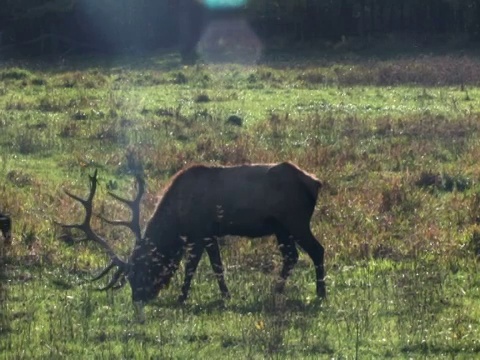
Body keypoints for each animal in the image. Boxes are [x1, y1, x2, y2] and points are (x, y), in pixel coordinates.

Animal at [58, 162, 324, 322]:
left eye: (139, 272)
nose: (138, 299)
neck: (178, 217)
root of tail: (316, 183)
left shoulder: (200, 232)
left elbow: (191, 267)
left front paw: (181, 297)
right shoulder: (210, 234)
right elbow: (217, 266)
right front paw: (226, 296)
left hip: (296, 221)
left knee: (317, 250)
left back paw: (320, 294)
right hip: (282, 228)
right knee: (291, 256)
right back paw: (276, 291)